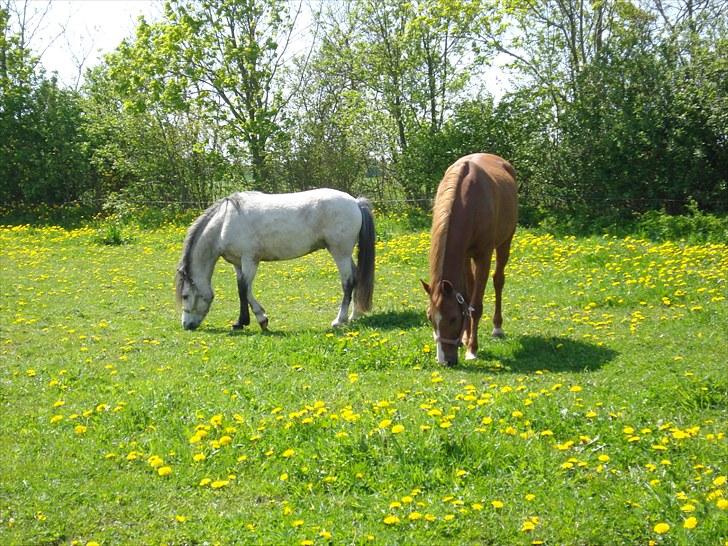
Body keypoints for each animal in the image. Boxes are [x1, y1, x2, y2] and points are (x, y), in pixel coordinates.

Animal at [175, 188, 375, 331]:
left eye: (185, 296)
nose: (186, 325)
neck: (224, 223)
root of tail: (355, 202)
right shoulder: (239, 263)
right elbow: (242, 290)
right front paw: (247, 321)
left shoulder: (250, 260)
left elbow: (244, 289)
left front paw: (254, 321)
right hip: (345, 254)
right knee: (356, 278)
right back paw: (355, 315)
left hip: (340, 253)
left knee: (348, 283)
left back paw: (339, 320)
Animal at [421, 153, 517, 366]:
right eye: (430, 318)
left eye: (452, 318)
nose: (445, 361)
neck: (468, 202)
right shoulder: (464, 255)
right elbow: (466, 298)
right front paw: (466, 339)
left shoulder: (483, 255)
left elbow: (475, 307)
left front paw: (472, 350)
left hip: (505, 242)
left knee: (498, 280)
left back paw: (497, 328)